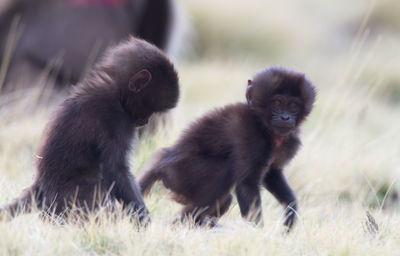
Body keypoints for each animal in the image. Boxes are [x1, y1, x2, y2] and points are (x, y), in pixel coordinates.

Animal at [140, 66, 316, 230]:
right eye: (277, 103)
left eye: (293, 106)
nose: (285, 117)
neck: (264, 126)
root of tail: (164, 160)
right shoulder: (250, 135)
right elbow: (247, 184)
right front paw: (257, 233)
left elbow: (272, 173)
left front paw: (290, 209)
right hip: (180, 174)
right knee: (222, 171)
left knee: (225, 198)